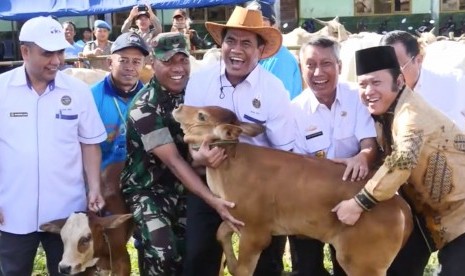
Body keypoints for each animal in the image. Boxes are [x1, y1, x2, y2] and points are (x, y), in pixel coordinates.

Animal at [172, 104, 412, 276]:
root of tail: (401, 206)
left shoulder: (256, 234)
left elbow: (242, 270)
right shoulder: (235, 220)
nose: (179, 106)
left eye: (201, 116)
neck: (231, 166)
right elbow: (220, 232)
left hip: (362, 263)